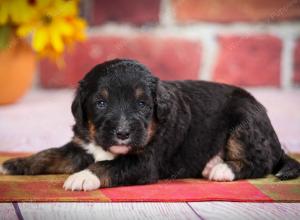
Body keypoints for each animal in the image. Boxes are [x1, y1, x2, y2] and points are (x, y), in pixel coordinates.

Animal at [0, 58, 300, 191]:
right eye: (100, 103)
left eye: (142, 104)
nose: (122, 133)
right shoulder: (81, 146)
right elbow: (49, 154)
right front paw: (13, 164)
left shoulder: (144, 161)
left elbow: (110, 166)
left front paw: (83, 177)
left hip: (244, 121)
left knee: (260, 162)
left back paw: (221, 169)